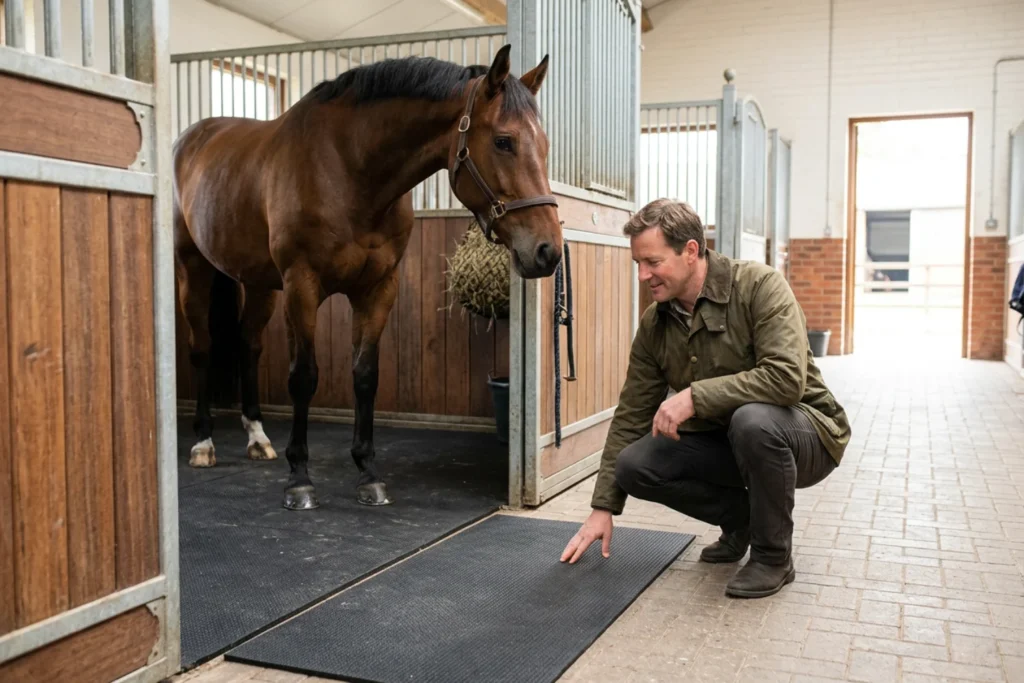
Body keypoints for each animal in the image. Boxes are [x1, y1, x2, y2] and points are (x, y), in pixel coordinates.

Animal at [171, 45, 562, 511]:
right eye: (504, 141)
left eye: (545, 145)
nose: (548, 251)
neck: (348, 168)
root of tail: (191, 139)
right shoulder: (302, 285)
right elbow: (304, 376)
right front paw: (299, 479)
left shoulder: (377, 289)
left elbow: (365, 375)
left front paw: (368, 473)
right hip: (194, 269)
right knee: (202, 348)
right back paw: (203, 443)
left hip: (259, 283)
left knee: (248, 345)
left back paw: (257, 438)